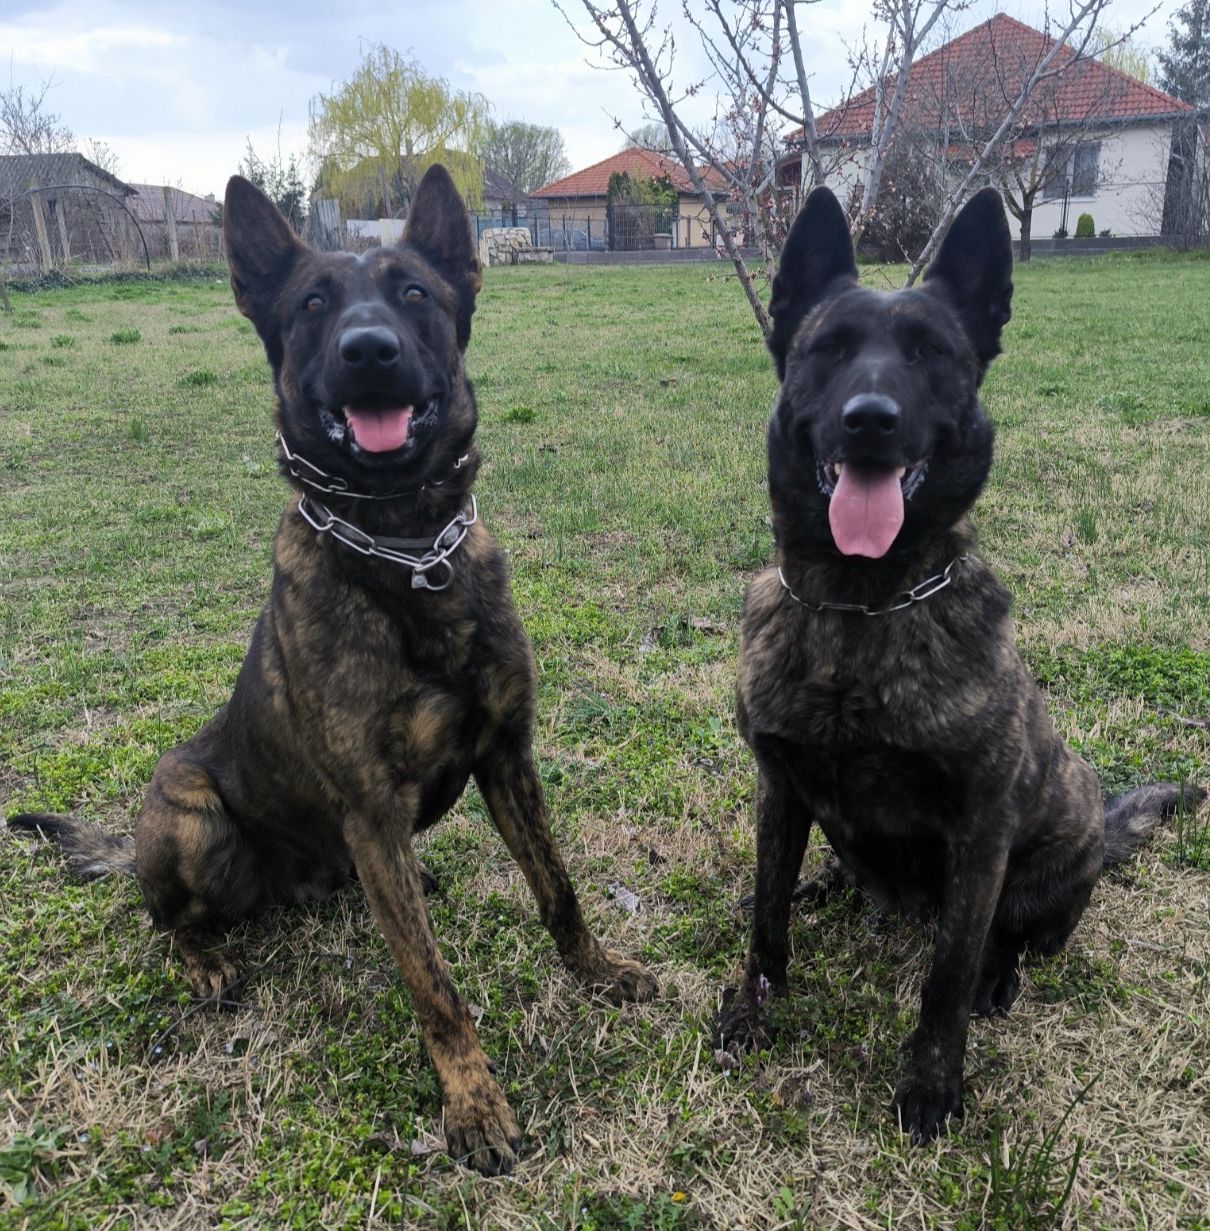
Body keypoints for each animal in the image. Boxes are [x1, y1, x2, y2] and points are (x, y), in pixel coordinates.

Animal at [7, 165, 655, 1176]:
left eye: (415, 293)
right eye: (313, 305)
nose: (368, 350)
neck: (407, 551)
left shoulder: (507, 757)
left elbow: (558, 887)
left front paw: (597, 969)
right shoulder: (373, 807)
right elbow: (434, 984)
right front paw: (473, 1103)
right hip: (193, 813)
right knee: (167, 919)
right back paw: (204, 958)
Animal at [715, 185, 1202, 1143]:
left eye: (929, 353)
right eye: (829, 349)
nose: (871, 418)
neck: (859, 607)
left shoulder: (979, 828)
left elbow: (944, 977)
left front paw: (933, 1085)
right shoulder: (780, 786)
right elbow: (765, 918)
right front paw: (756, 1007)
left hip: (1054, 846)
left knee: (1014, 937)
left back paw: (1000, 976)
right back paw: (832, 884)